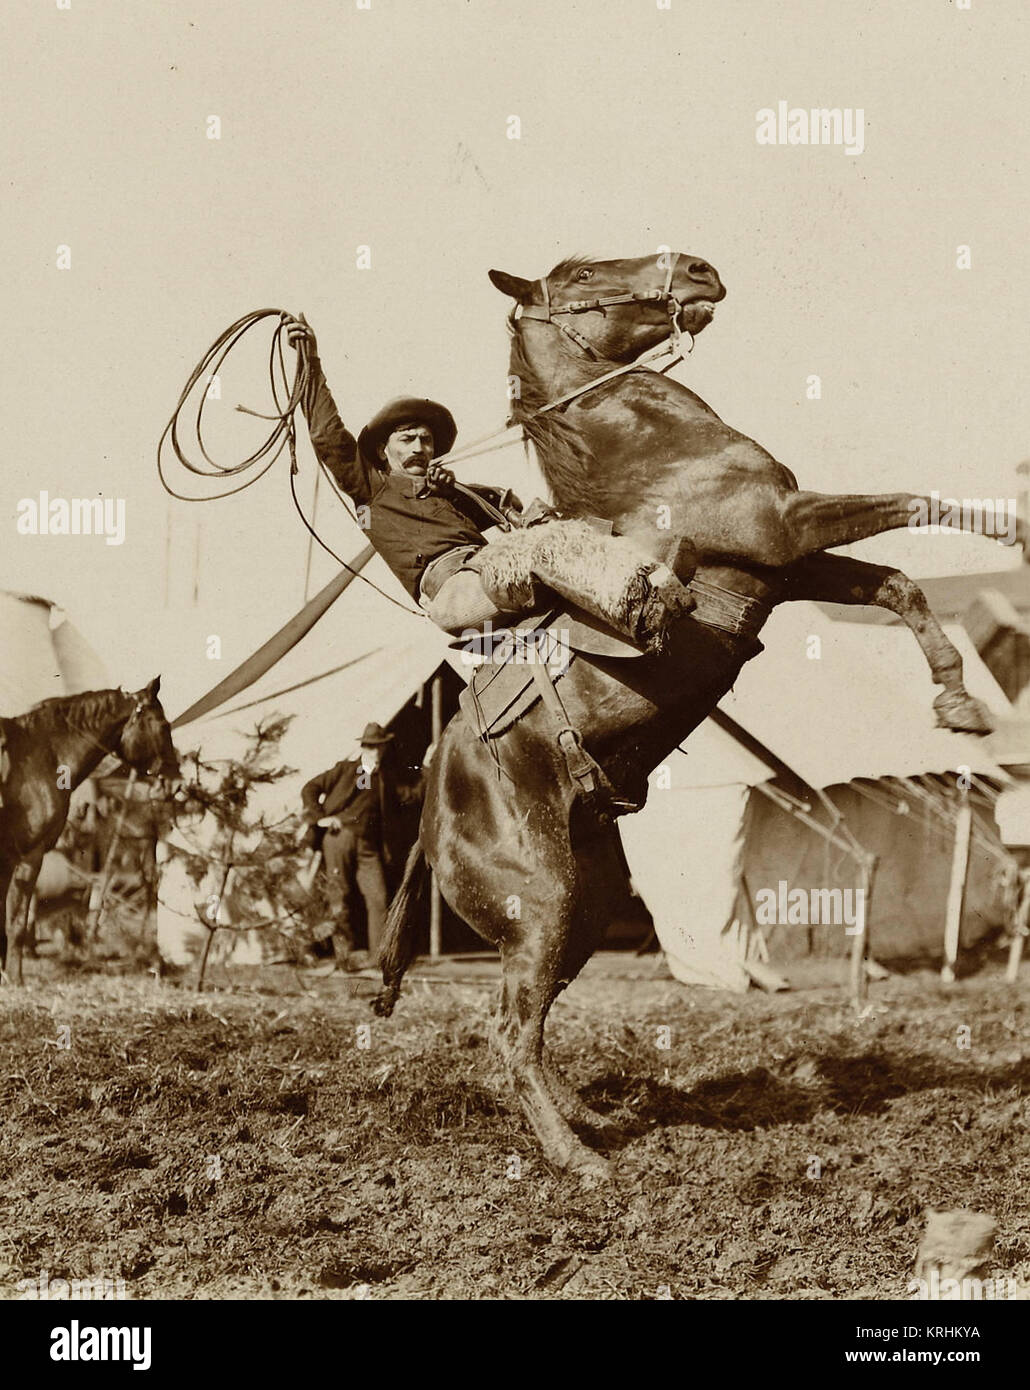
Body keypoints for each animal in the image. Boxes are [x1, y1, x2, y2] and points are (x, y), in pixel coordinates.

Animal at [0, 677, 179, 985]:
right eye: (163, 725)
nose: (174, 782)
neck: (42, 756)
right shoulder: (28, 857)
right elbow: (18, 922)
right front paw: (16, 978)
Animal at [375, 252, 1017, 1182]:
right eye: (582, 275)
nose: (699, 268)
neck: (652, 455)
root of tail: (430, 806)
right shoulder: (784, 528)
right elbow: (912, 500)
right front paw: (1013, 529)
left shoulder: (788, 565)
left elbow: (897, 582)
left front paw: (957, 699)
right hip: (541, 904)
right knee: (510, 1031)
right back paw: (579, 1159)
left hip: (586, 904)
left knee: (532, 1021)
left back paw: (591, 1114)